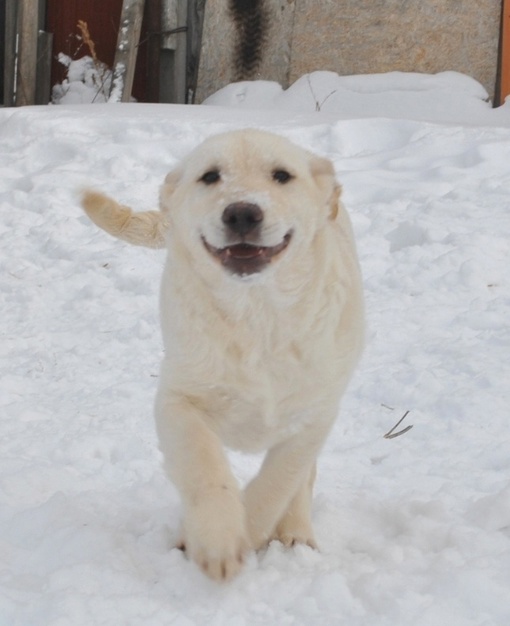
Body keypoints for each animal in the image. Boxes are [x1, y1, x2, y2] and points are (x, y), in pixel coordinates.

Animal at [81, 130, 364, 580]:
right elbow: (204, 469)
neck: (255, 315)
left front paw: (249, 531)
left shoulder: (314, 415)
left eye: (282, 175)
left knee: (302, 481)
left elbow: (278, 482)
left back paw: (297, 534)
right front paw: (218, 542)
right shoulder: (178, 400)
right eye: (210, 176)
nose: (242, 213)